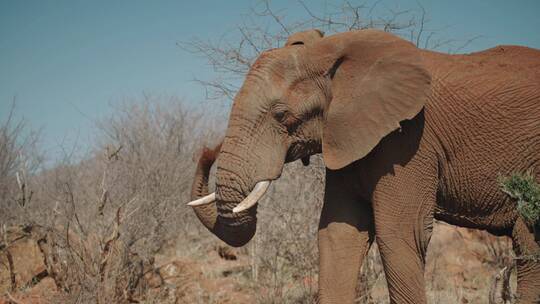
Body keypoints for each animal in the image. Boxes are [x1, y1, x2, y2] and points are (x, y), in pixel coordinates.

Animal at [187, 29, 540, 304]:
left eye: (281, 115)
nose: (208, 150)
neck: (334, 51)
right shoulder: (346, 136)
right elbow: (337, 233)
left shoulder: (410, 141)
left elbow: (400, 233)